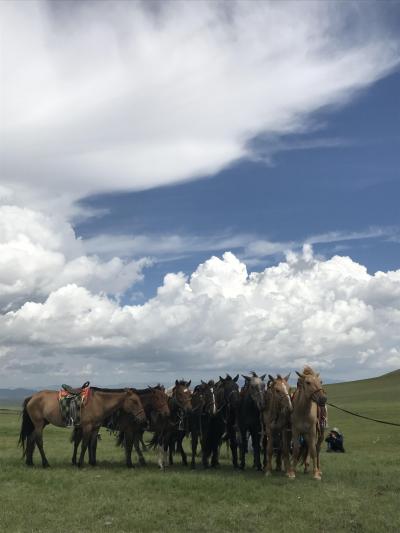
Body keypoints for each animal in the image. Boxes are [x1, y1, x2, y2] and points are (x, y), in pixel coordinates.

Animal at [18, 386, 146, 466]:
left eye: (140, 400)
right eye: (134, 401)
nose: (143, 418)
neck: (99, 402)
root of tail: (32, 397)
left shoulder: (95, 428)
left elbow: (92, 445)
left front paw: (93, 463)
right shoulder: (87, 427)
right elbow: (84, 445)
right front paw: (80, 463)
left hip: (42, 423)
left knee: (31, 439)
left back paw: (30, 462)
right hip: (39, 424)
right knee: (39, 442)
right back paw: (45, 463)